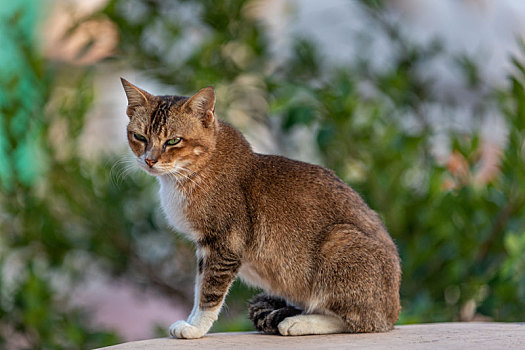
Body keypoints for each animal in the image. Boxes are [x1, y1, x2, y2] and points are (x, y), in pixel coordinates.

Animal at [122, 78, 402, 340]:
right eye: (140, 137)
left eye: (173, 140)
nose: (149, 160)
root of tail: (392, 311)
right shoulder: (204, 247)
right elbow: (198, 286)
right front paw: (191, 320)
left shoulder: (224, 243)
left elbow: (209, 292)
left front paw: (196, 328)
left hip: (339, 243)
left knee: (359, 321)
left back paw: (300, 322)